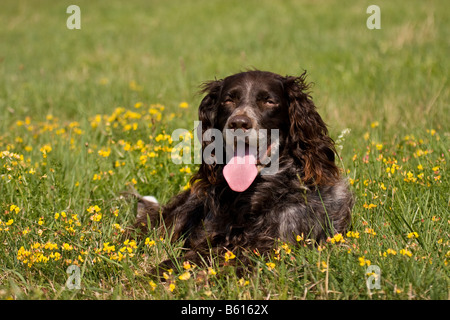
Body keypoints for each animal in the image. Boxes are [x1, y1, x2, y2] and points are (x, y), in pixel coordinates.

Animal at [128, 71, 354, 268]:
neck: (252, 196)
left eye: (269, 101)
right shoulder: (206, 240)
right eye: (229, 100)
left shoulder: (270, 246)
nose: (238, 123)